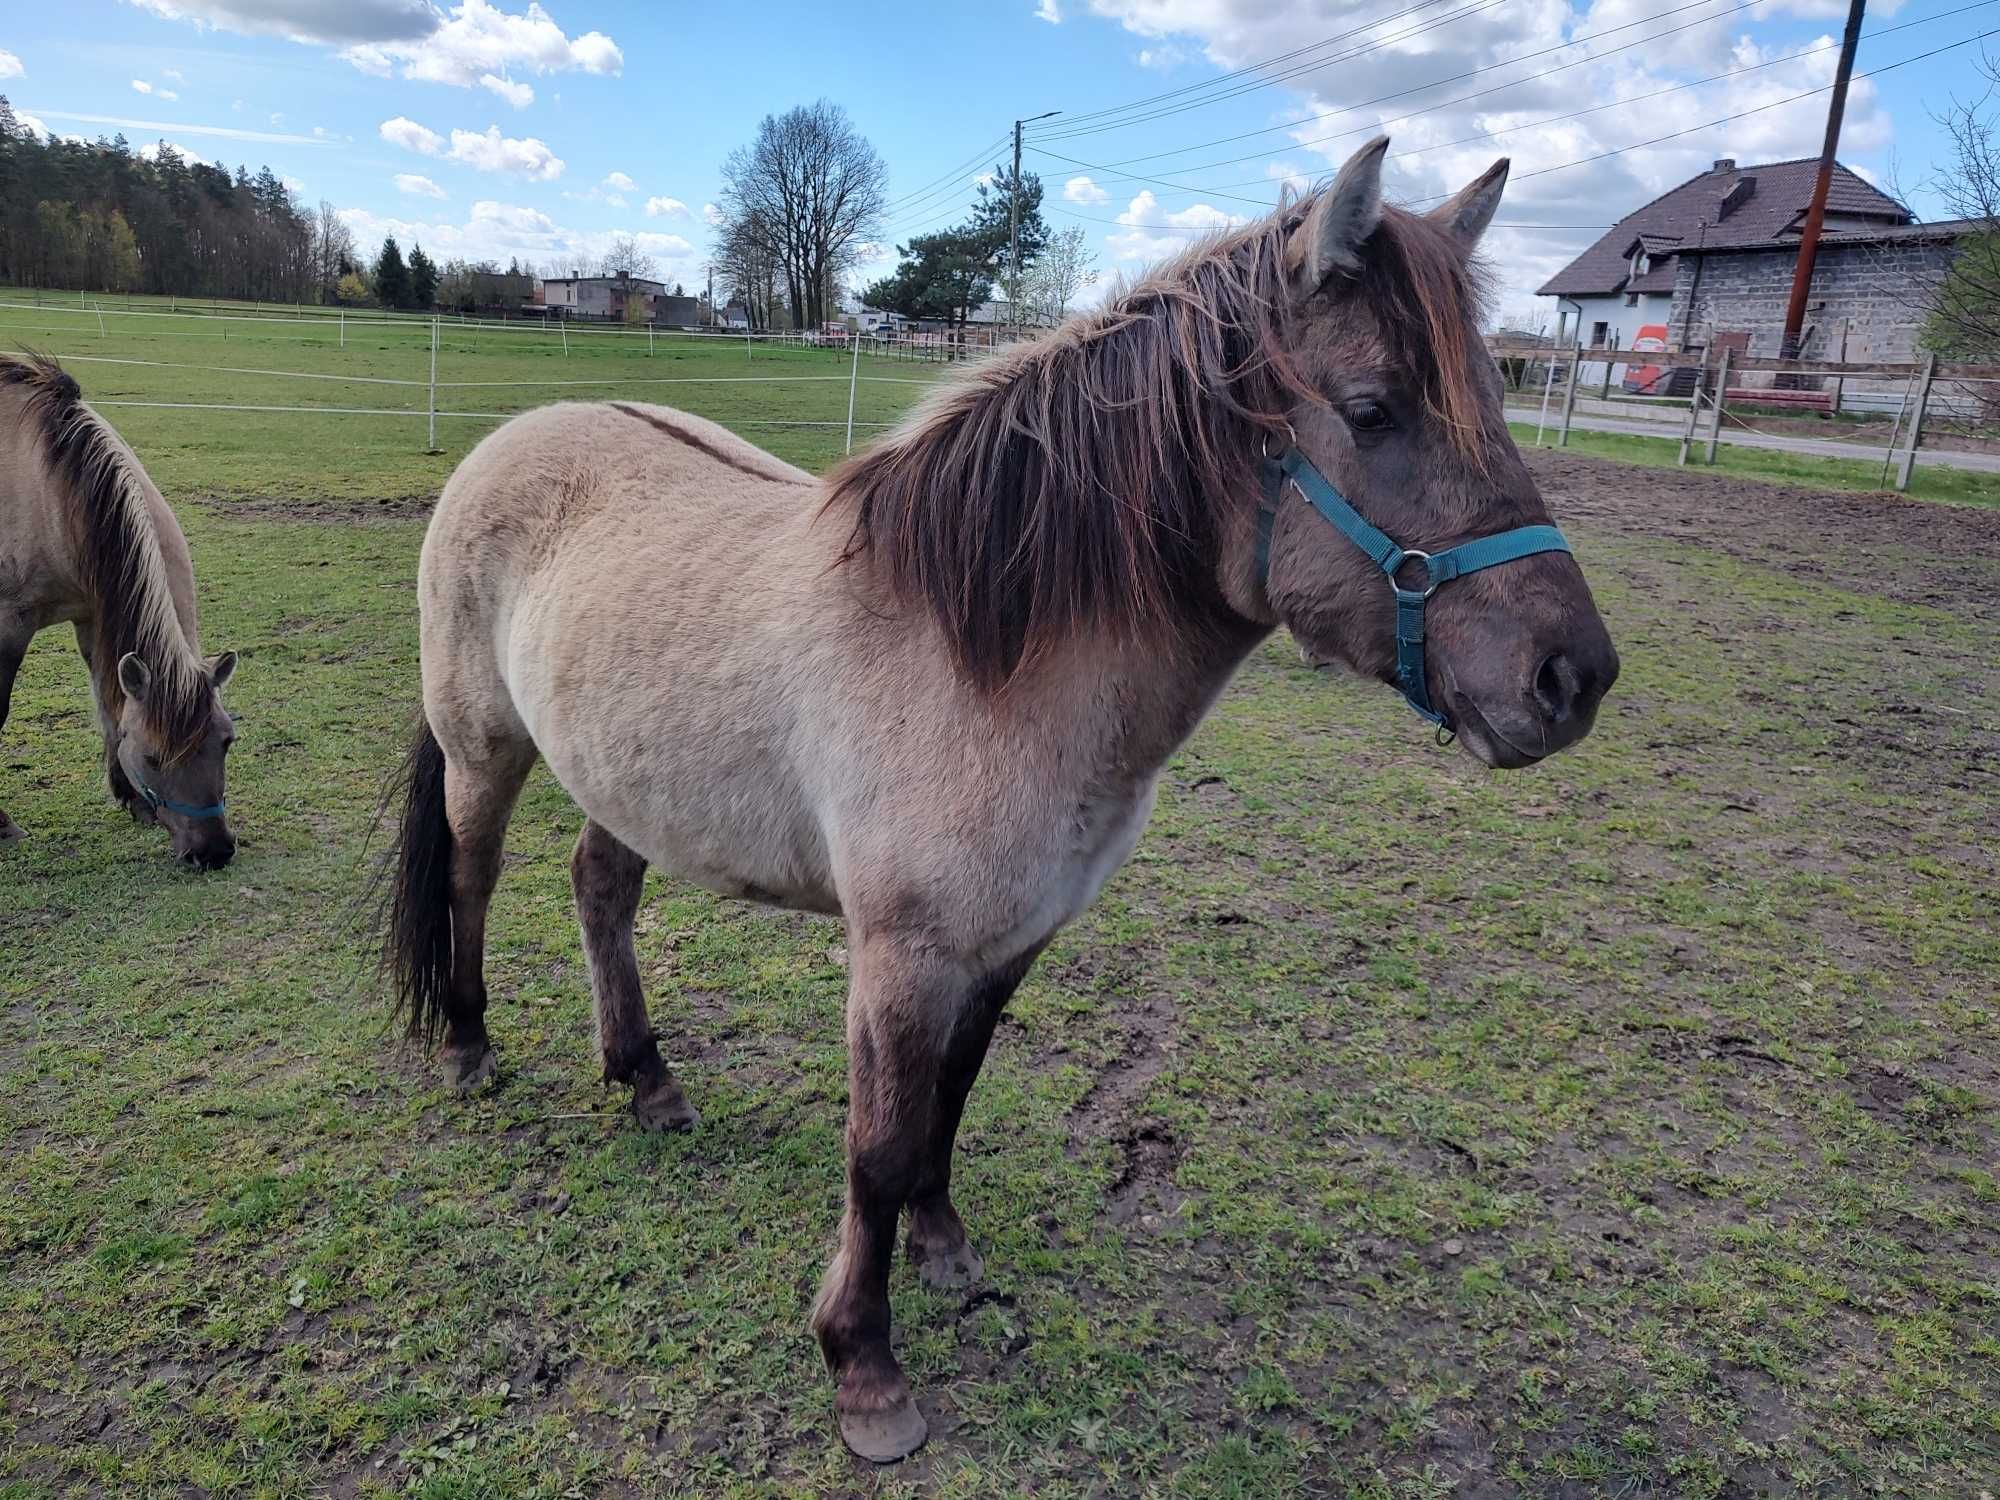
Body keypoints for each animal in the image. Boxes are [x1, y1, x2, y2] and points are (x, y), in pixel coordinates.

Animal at [0, 356, 240, 868]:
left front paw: (130, 798)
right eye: (152, 758)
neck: (50, 484)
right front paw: (0, 824)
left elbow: (108, 704)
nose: (211, 851)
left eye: (226, 741)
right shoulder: (9, 627)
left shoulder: (94, 617)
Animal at [382, 144, 1616, 1472]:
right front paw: (863, 1368)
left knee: (599, 893)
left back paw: (647, 1078)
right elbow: (877, 1148)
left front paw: (945, 1250)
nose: (1571, 677)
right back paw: (467, 1048)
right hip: (482, 750)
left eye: (1494, 399)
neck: (985, 658)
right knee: (472, 881)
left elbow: (951, 1101)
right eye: (1377, 409)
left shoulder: (1011, 941)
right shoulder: (901, 955)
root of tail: (520, 435)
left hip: (627, 776)